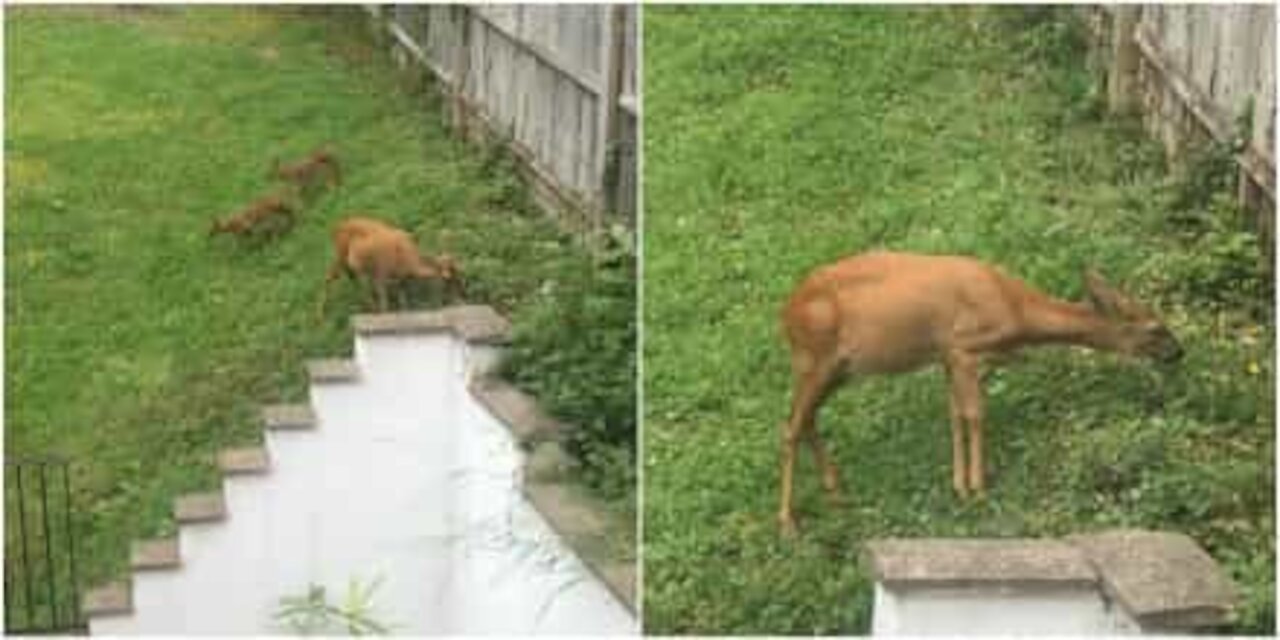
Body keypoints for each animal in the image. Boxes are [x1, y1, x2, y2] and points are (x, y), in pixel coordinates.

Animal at [318, 215, 468, 317]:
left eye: (460, 276)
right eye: (450, 280)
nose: (463, 296)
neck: (408, 261)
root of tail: (337, 226)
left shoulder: (401, 280)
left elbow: (404, 304)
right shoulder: (381, 273)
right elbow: (385, 305)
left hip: (351, 264)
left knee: (353, 280)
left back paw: (368, 307)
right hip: (341, 254)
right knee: (329, 277)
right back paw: (320, 315)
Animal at [773, 249, 1182, 535]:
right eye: (1155, 328)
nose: (1179, 352)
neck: (1015, 308)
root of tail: (787, 311)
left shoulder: (948, 357)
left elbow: (955, 415)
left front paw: (959, 486)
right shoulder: (964, 347)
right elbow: (974, 414)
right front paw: (978, 489)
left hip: (838, 369)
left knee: (806, 419)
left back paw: (835, 489)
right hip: (814, 357)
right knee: (790, 426)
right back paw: (788, 522)